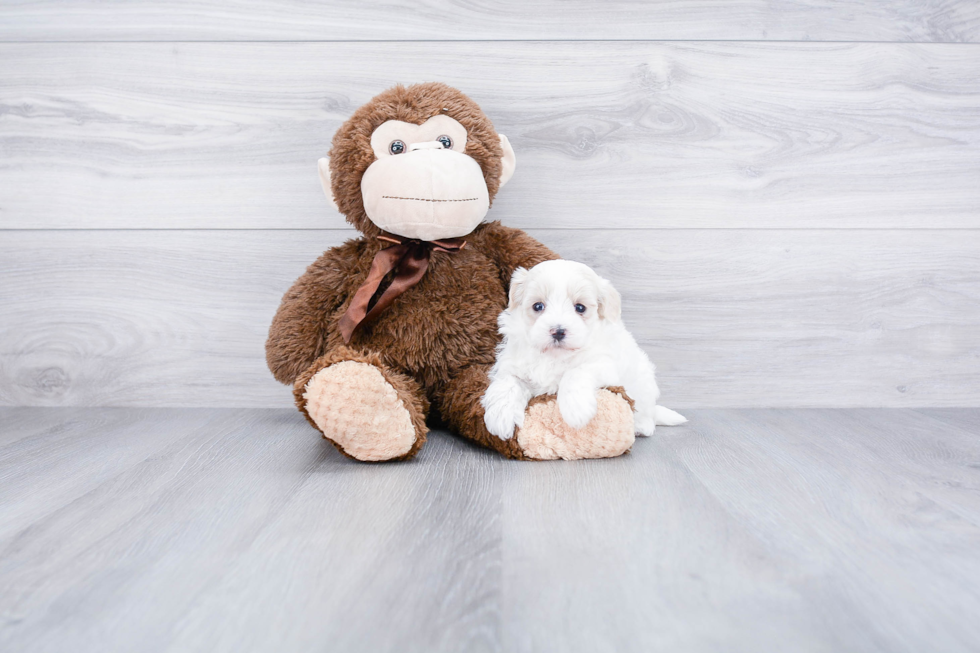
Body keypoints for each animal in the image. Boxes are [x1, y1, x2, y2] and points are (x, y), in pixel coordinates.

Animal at [480, 258, 680, 438]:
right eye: (538, 306)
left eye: (580, 308)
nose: (558, 331)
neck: (554, 357)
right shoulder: (514, 364)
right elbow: (508, 383)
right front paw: (500, 417)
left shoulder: (604, 365)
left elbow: (575, 372)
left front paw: (576, 410)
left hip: (644, 384)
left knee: (646, 414)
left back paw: (640, 425)